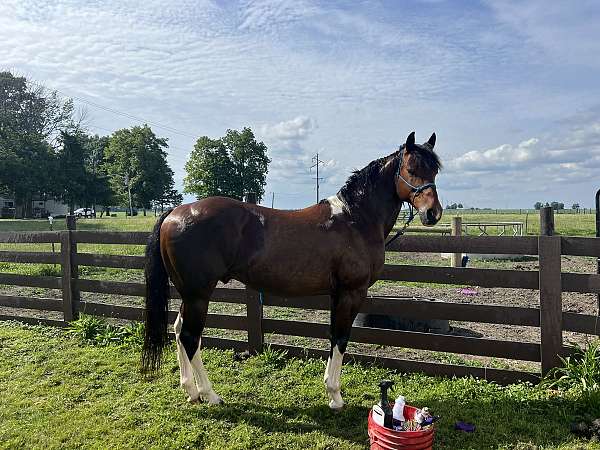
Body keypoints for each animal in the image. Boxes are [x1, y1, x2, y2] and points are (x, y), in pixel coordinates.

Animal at [139, 130, 440, 408]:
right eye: (411, 169)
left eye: (435, 169)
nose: (433, 213)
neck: (355, 219)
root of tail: (176, 212)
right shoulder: (351, 292)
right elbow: (341, 337)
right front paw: (335, 396)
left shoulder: (336, 293)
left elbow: (332, 335)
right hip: (198, 295)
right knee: (190, 337)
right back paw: (210, 395)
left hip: (188, 294)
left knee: (179, 331)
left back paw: (190, 391)